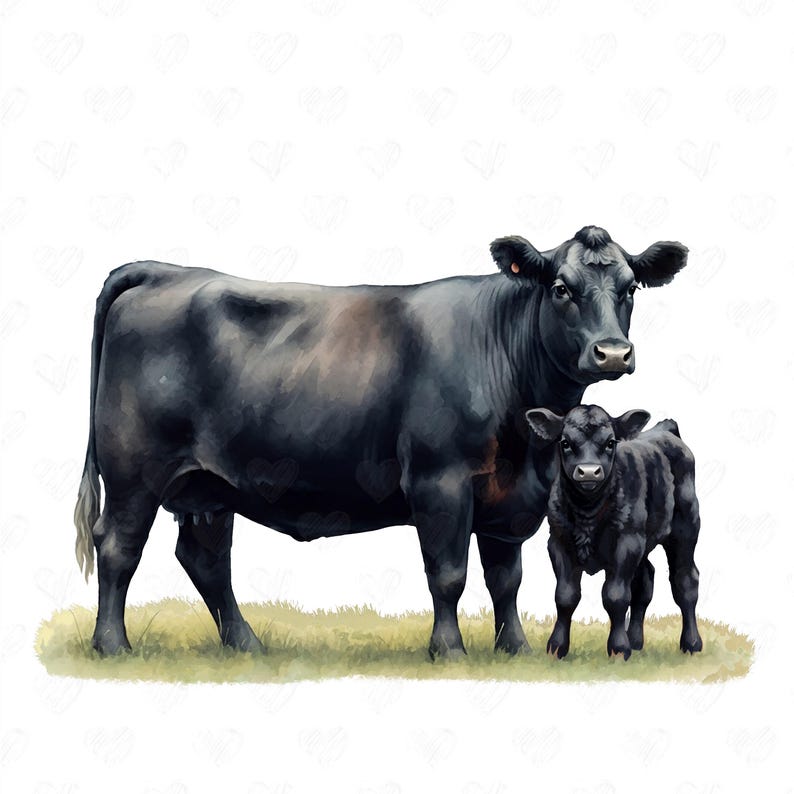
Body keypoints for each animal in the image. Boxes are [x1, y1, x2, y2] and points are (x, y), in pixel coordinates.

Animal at [525, 404, 702, 660]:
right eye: (565, 442)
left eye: (610, 442)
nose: (589, 472)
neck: (588, 513)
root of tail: (664, 429)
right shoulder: (558, 542)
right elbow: (565, 596)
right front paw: (557, 647)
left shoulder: (626, 542)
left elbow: (615, 595)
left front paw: (618, 649)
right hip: (644, 542)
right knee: (645, 580)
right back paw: (636, 641)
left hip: (685, 528)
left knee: (685, 580)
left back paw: (691, 644)